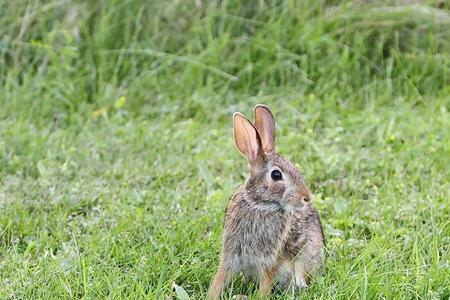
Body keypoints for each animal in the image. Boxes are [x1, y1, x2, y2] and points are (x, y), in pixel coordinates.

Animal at [207, 104, 324, 298]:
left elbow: (265, 284)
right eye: (276, 175)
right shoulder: (231, 255)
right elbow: (220, 278)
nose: (307, 197)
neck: (260, 204)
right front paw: (212, 295)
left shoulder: (270, 261)